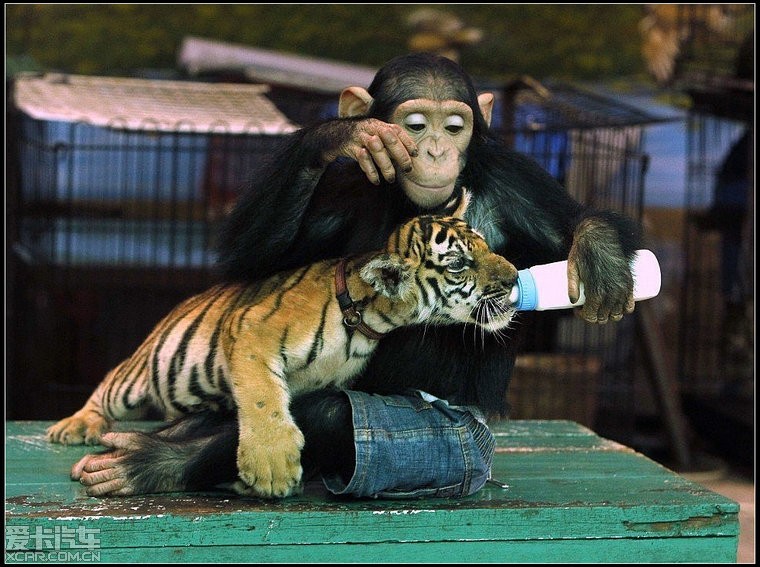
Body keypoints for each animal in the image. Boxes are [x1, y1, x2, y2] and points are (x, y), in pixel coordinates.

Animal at [72, 52, 640, 496]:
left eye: (455, 127)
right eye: (416, 125)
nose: (438, 151)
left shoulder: (515, 180)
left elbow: (571, 222)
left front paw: (602, 261)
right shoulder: (329, 202)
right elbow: (252, 263)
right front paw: (344, 134)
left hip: (460, 444)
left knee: (330, 415)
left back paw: (152, 459)